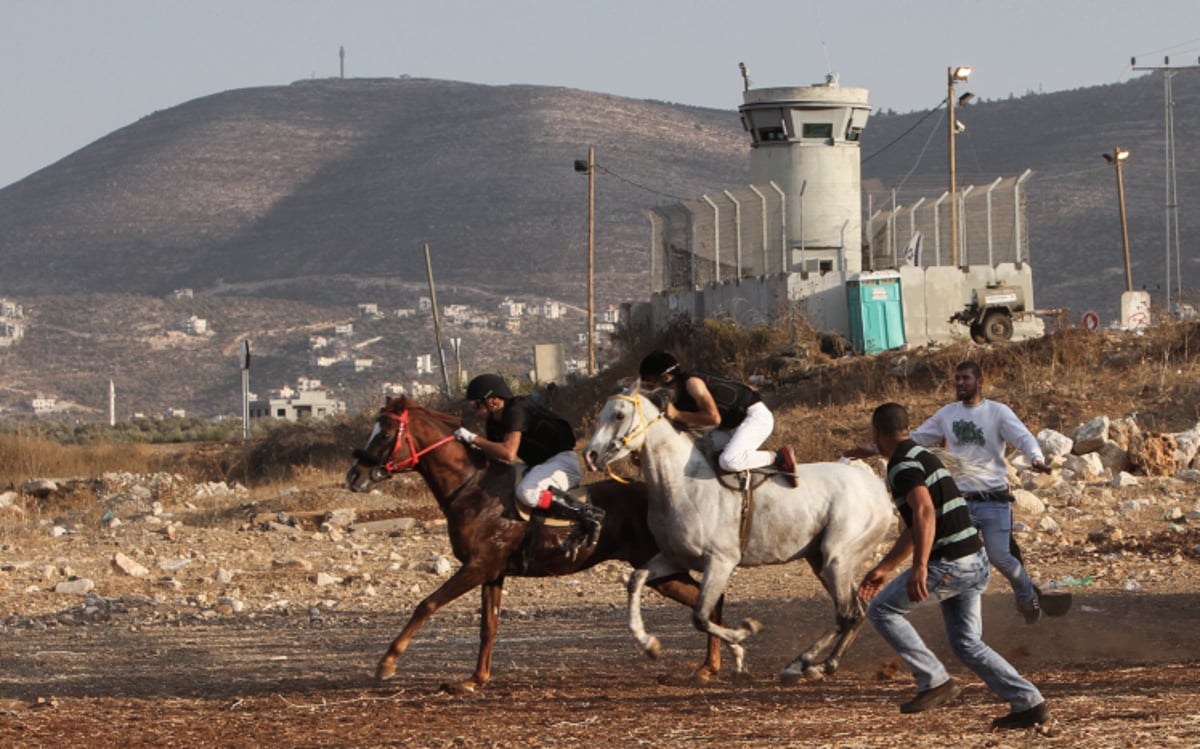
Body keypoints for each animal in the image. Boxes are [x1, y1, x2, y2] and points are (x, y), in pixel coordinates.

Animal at [348, 396, 720, 691]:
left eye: (384, 434)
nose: (354, 475)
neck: (470, 487)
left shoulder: (476, 567)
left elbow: (426, 604)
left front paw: (387, 663)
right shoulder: (492, 573)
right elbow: (488, 626)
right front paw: (475, 680)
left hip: (657, 569)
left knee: (708, 602)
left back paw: (708, 667)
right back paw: (711, 666)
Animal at [585, 388, 897, 681]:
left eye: (619, 415)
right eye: (600, 415)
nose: (590, 455)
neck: (681, 486)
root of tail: (877, 488)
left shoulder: (720, 562)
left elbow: (701, 616)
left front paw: (745, 633)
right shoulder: (674, 558)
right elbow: (636, 580)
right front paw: (647, 643)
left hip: (837, 558)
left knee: (846, 613)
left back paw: (803, 663)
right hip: (820, 560)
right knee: (856, 610)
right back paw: (824, 665)